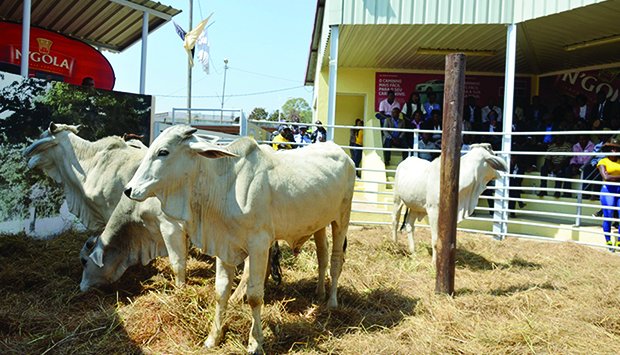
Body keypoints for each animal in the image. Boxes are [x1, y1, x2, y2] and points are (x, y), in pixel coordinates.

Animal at [124, 125, 356, 354]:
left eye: (163, 152)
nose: (128, 189)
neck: (225, 185)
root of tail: (341, 152)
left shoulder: (259, 244)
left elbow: (255, 296)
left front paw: (255, 343)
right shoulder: (223, 243)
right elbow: (221, 291)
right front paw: (213, 338)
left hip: (341, 219)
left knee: (336, 261)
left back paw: (332, 302)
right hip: (319, 224)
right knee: (322, 256)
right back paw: (319, 294)